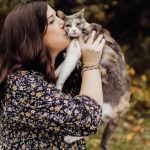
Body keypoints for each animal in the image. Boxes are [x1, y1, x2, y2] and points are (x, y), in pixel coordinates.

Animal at [54, 8, 129, 150]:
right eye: (68, 25)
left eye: (78, 24)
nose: (74, 31)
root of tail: (126, 103)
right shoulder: (70, 57)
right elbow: (60, 69)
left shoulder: (73, 55)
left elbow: (63, 74)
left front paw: (57, 88)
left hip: (103, 106)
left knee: (93, 126)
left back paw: (68, 138)